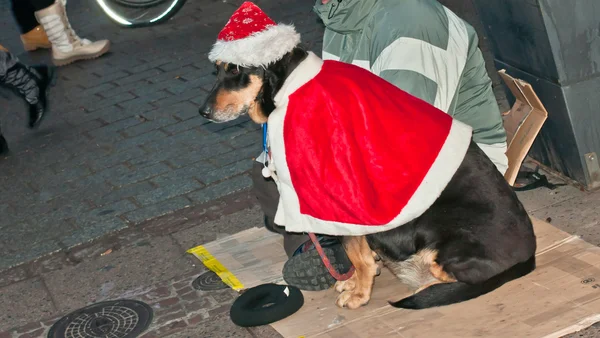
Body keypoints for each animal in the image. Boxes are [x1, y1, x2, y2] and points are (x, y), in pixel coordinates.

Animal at [199, 46, 536, 310]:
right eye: (215, 69)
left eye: (235, 68)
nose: (203, 113)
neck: (289, 88)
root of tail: (529, 255)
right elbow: (357, 255)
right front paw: (356, 283)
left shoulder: (351, 205)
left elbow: (356, 255)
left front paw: (360, 293)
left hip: (442, 245)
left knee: (461, 281)